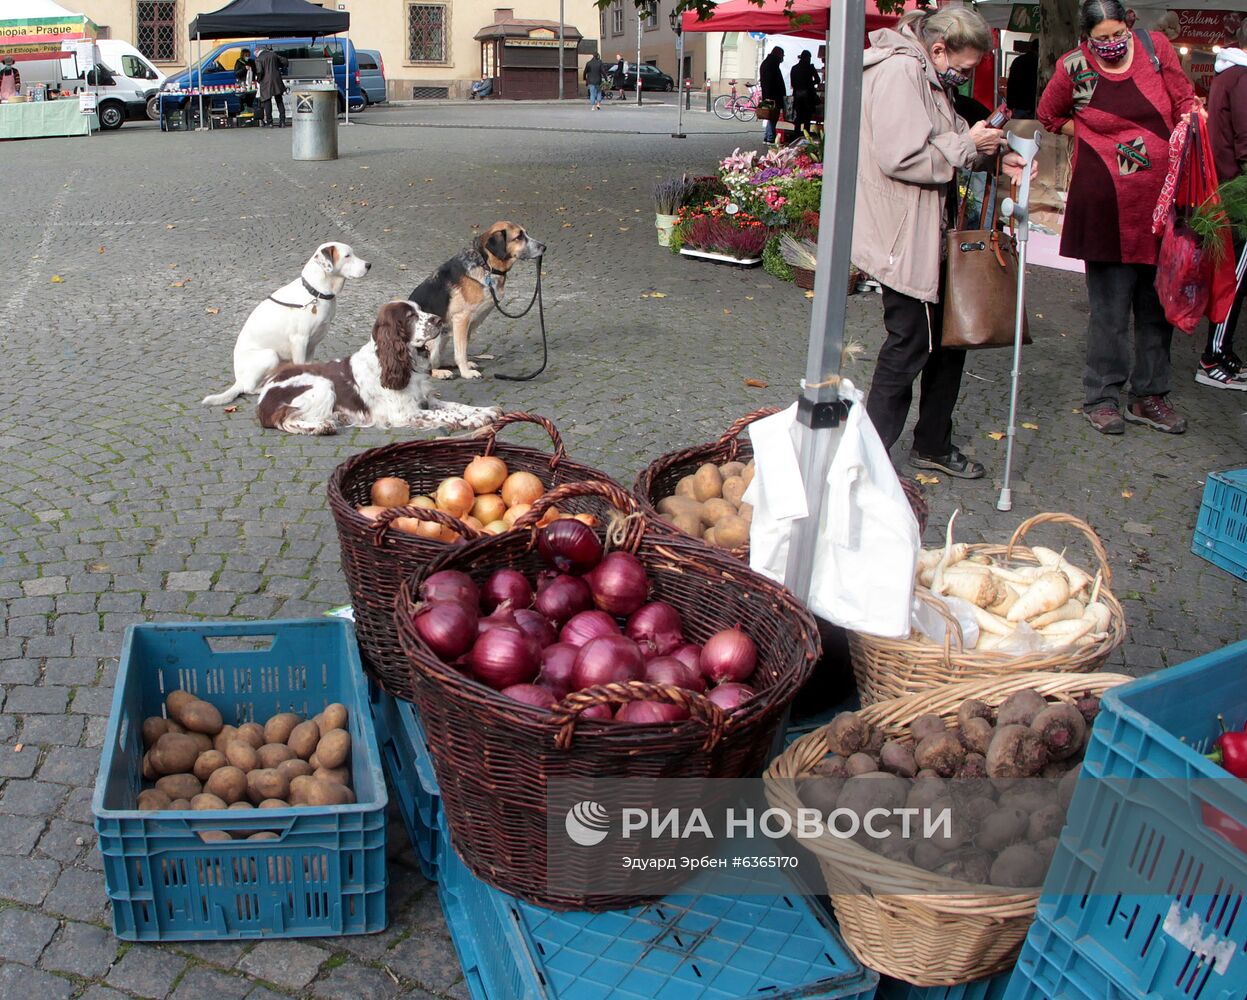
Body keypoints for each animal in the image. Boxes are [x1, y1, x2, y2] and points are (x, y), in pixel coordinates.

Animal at [202, 241, 366, 403]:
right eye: (347, 256)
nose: (368, 265)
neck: (316, 293)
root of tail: (239, 380)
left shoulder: (311, 344)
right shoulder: (300, 341)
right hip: (270, 355)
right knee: (248, 388)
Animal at [254, 298, 501, 433]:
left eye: (420, 309)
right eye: (410, 316)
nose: (439, 320)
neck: (403, 362)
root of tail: (263, 398)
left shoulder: (426, 400)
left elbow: (456, 406)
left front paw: (486, 411)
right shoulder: (405, 413)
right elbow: (445, 415)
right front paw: (475, 420)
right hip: (323, 385)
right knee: (286, 418)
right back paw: (322, 426)